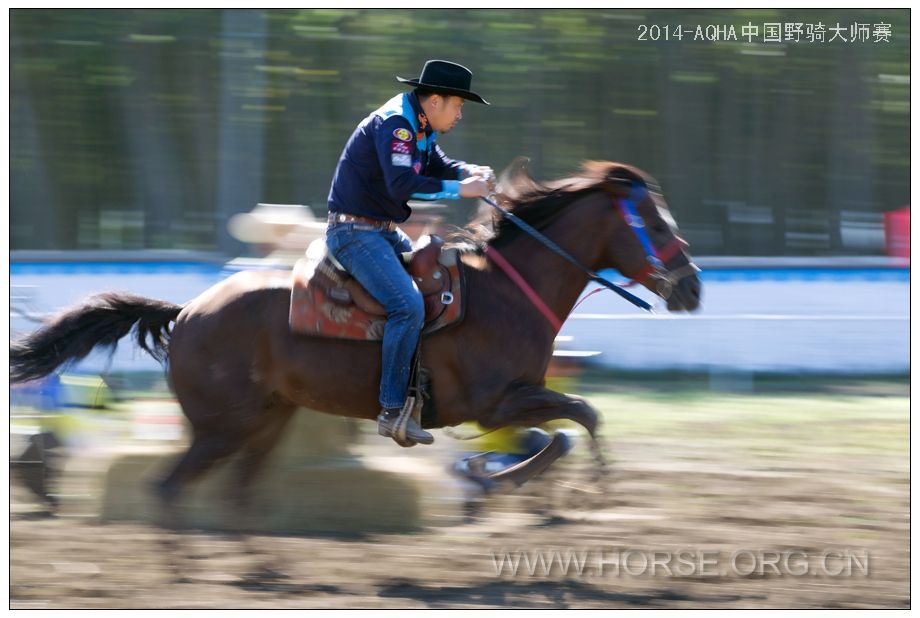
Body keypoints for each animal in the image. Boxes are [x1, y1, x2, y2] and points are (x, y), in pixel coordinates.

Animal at [7, 159, 700, 506]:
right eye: (654, 225)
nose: (692, 287)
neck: (507, 294)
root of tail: (186, 313)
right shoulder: (494, 402)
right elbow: (577, 418)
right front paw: (508, 478)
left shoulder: (511, 401)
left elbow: (567, 426)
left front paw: (497, 475)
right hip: (223, 427)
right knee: (176, 487)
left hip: (265, 420)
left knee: (233, 491)